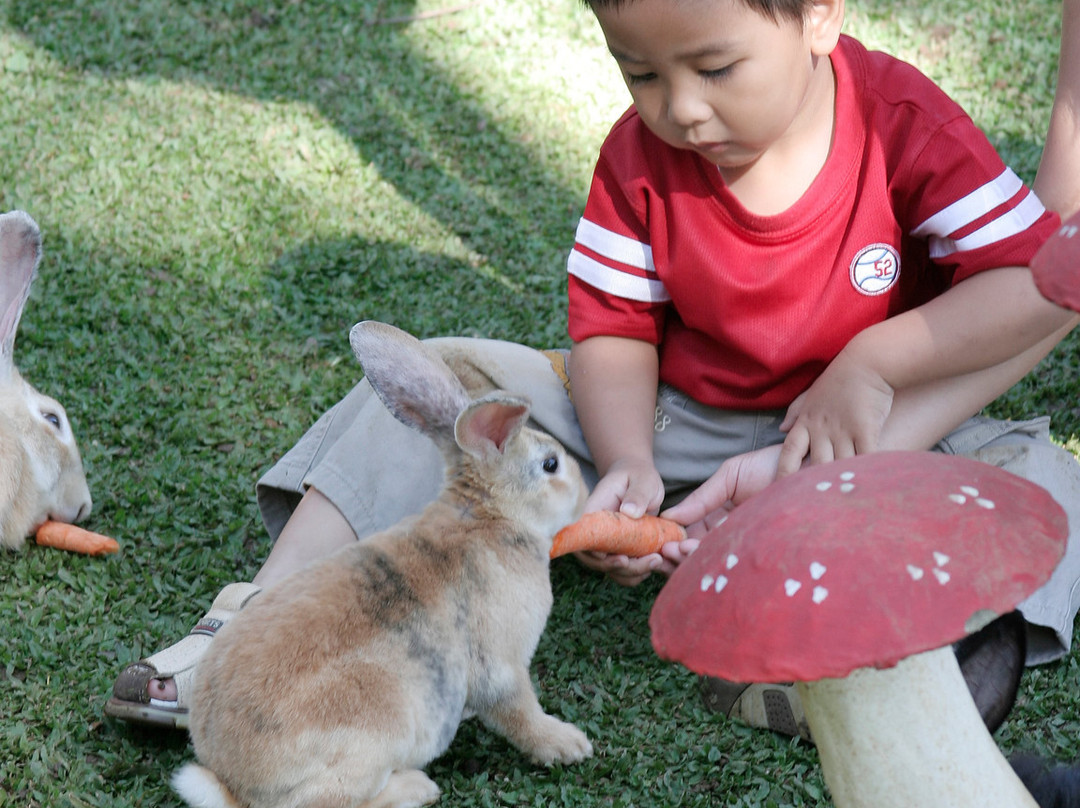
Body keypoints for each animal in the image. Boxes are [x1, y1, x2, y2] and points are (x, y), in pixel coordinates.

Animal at [171, 321, 591, 808]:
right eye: (550, 465)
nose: (584, 496)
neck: (488, 518)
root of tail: (236, 786)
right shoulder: (500, 664)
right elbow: (519, 711)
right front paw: (568, 744)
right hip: (374, 732)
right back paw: (417, 787)